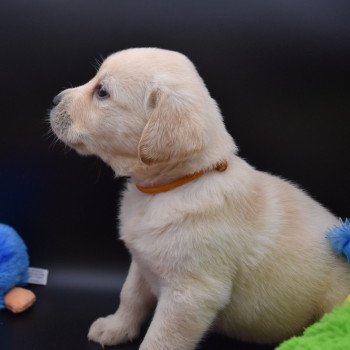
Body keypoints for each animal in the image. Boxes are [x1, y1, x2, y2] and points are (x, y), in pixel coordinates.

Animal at [49, 47, 350, 348]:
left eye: (102, 92)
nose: (54, 100)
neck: (171, 186)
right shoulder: (141, 262)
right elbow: (130, 295)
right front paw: (115, 327)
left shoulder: (190, 296)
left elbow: (161, 338)